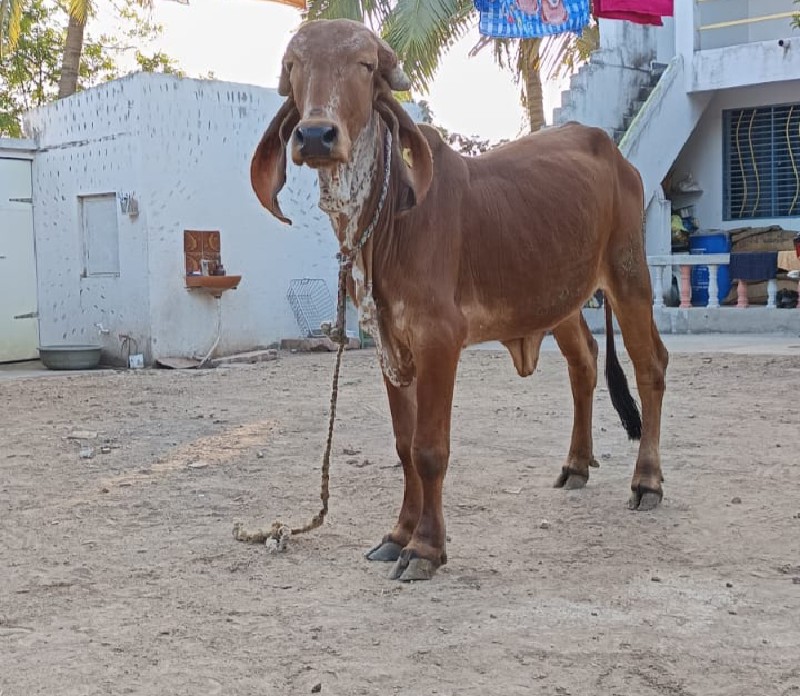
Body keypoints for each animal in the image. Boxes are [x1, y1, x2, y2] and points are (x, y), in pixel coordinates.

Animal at [252, 19, 668, 580]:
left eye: (364, 65)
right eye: (294, 67)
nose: (316, 135)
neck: (386, 219)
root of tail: (613, 151)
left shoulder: (439, 339)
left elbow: (429, 449)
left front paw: (426, 548)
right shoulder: (389, 345)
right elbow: (404, 446)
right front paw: (398, 534)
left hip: (628, 273)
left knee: (651, 366)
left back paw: (647, 481)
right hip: (560, 297)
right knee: (584, 362)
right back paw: (576, 464)